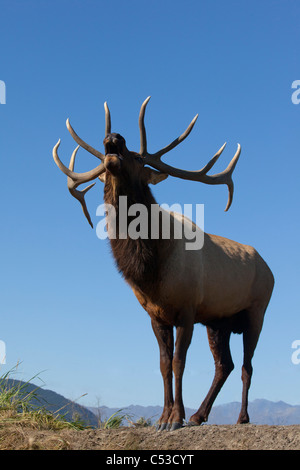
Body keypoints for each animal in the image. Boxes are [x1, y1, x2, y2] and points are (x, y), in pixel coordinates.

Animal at [52, 97, 274, 432]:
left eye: (136, 158)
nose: (113, 137)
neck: (151, 274)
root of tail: (270, 269)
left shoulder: (187, 309)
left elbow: (179, 362)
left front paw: (175, 418)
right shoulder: (156, 315)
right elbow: (163, 364)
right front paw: (164, 417)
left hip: (256, 311)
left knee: (247, 366)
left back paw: (241, 418)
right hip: (218, 321)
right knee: (225, 364)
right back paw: (199, 415)